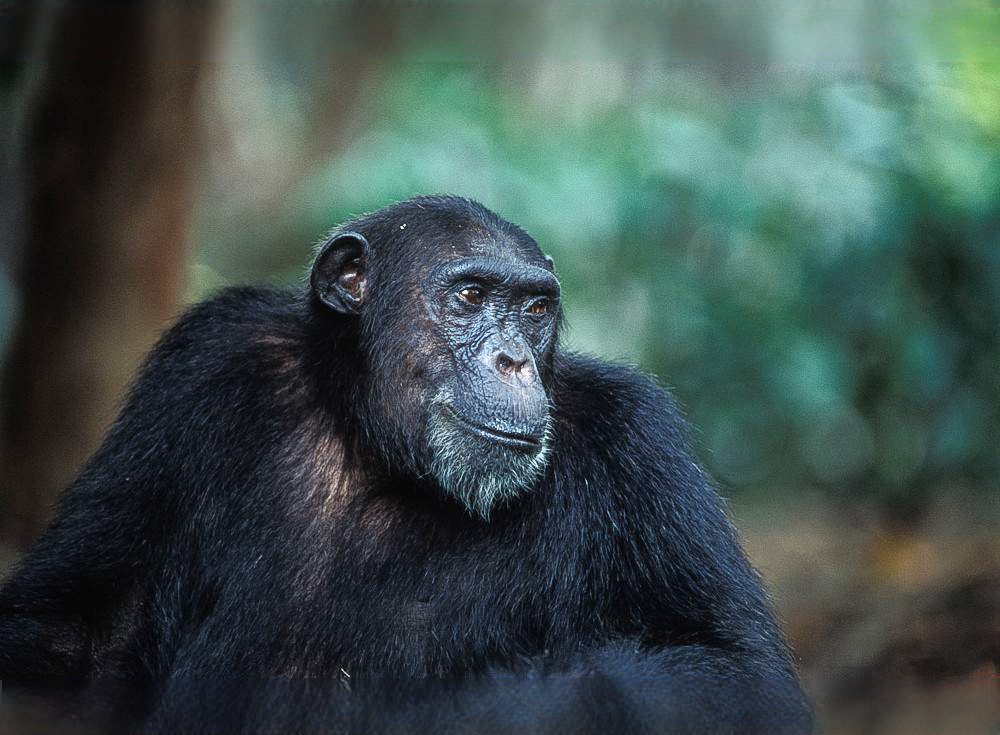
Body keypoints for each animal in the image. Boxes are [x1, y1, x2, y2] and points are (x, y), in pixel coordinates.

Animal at [0, 196, 812, 735]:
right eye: (471, 296)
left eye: (535, 310)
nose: (514, 359)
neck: (380, 454)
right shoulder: (200, 369)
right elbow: (79, 630)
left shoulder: (641, 449)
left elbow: (733, 672)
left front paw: (476, 711)